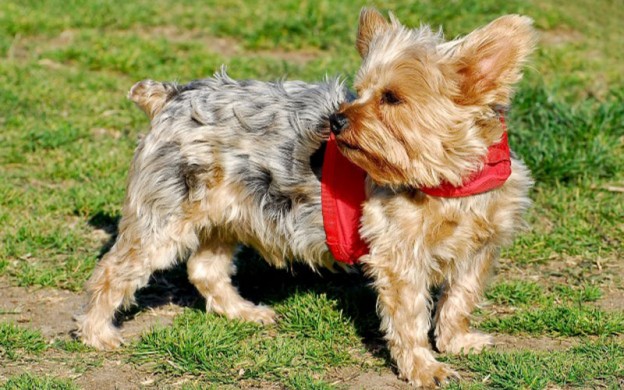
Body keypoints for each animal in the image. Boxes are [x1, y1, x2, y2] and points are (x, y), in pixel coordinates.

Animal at [77, 9, 536, 386]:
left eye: (391, 98)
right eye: (359, 91)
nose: (336, 120)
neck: (449, 178)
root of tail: (172, 96)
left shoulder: (481, 246)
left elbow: (461, 297)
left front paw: (458, 341)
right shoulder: (400, 255)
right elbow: (409, 318)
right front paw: (425, 368)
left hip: (230, 210)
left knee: (205, 267)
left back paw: (244, 311)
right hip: (166, 211)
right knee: (113, 270)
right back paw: (98, 334)